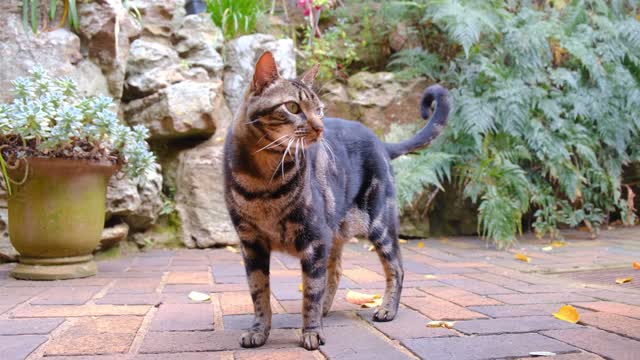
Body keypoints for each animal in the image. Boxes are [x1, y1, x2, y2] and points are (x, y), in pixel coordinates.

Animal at [225, 50, 450, 348]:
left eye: (319, 110)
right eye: (293, 107)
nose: (320, 127)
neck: (263, 180)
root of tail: (381, 142)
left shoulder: (314, 239)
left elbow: (310, 291)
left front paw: (311, 332)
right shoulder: (251, 242)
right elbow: (259, 292)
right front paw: (259, 331)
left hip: (379, 222)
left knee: (396, 267)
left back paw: (387, 309)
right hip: (336, 232)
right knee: (336, 271)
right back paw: (326, 308)